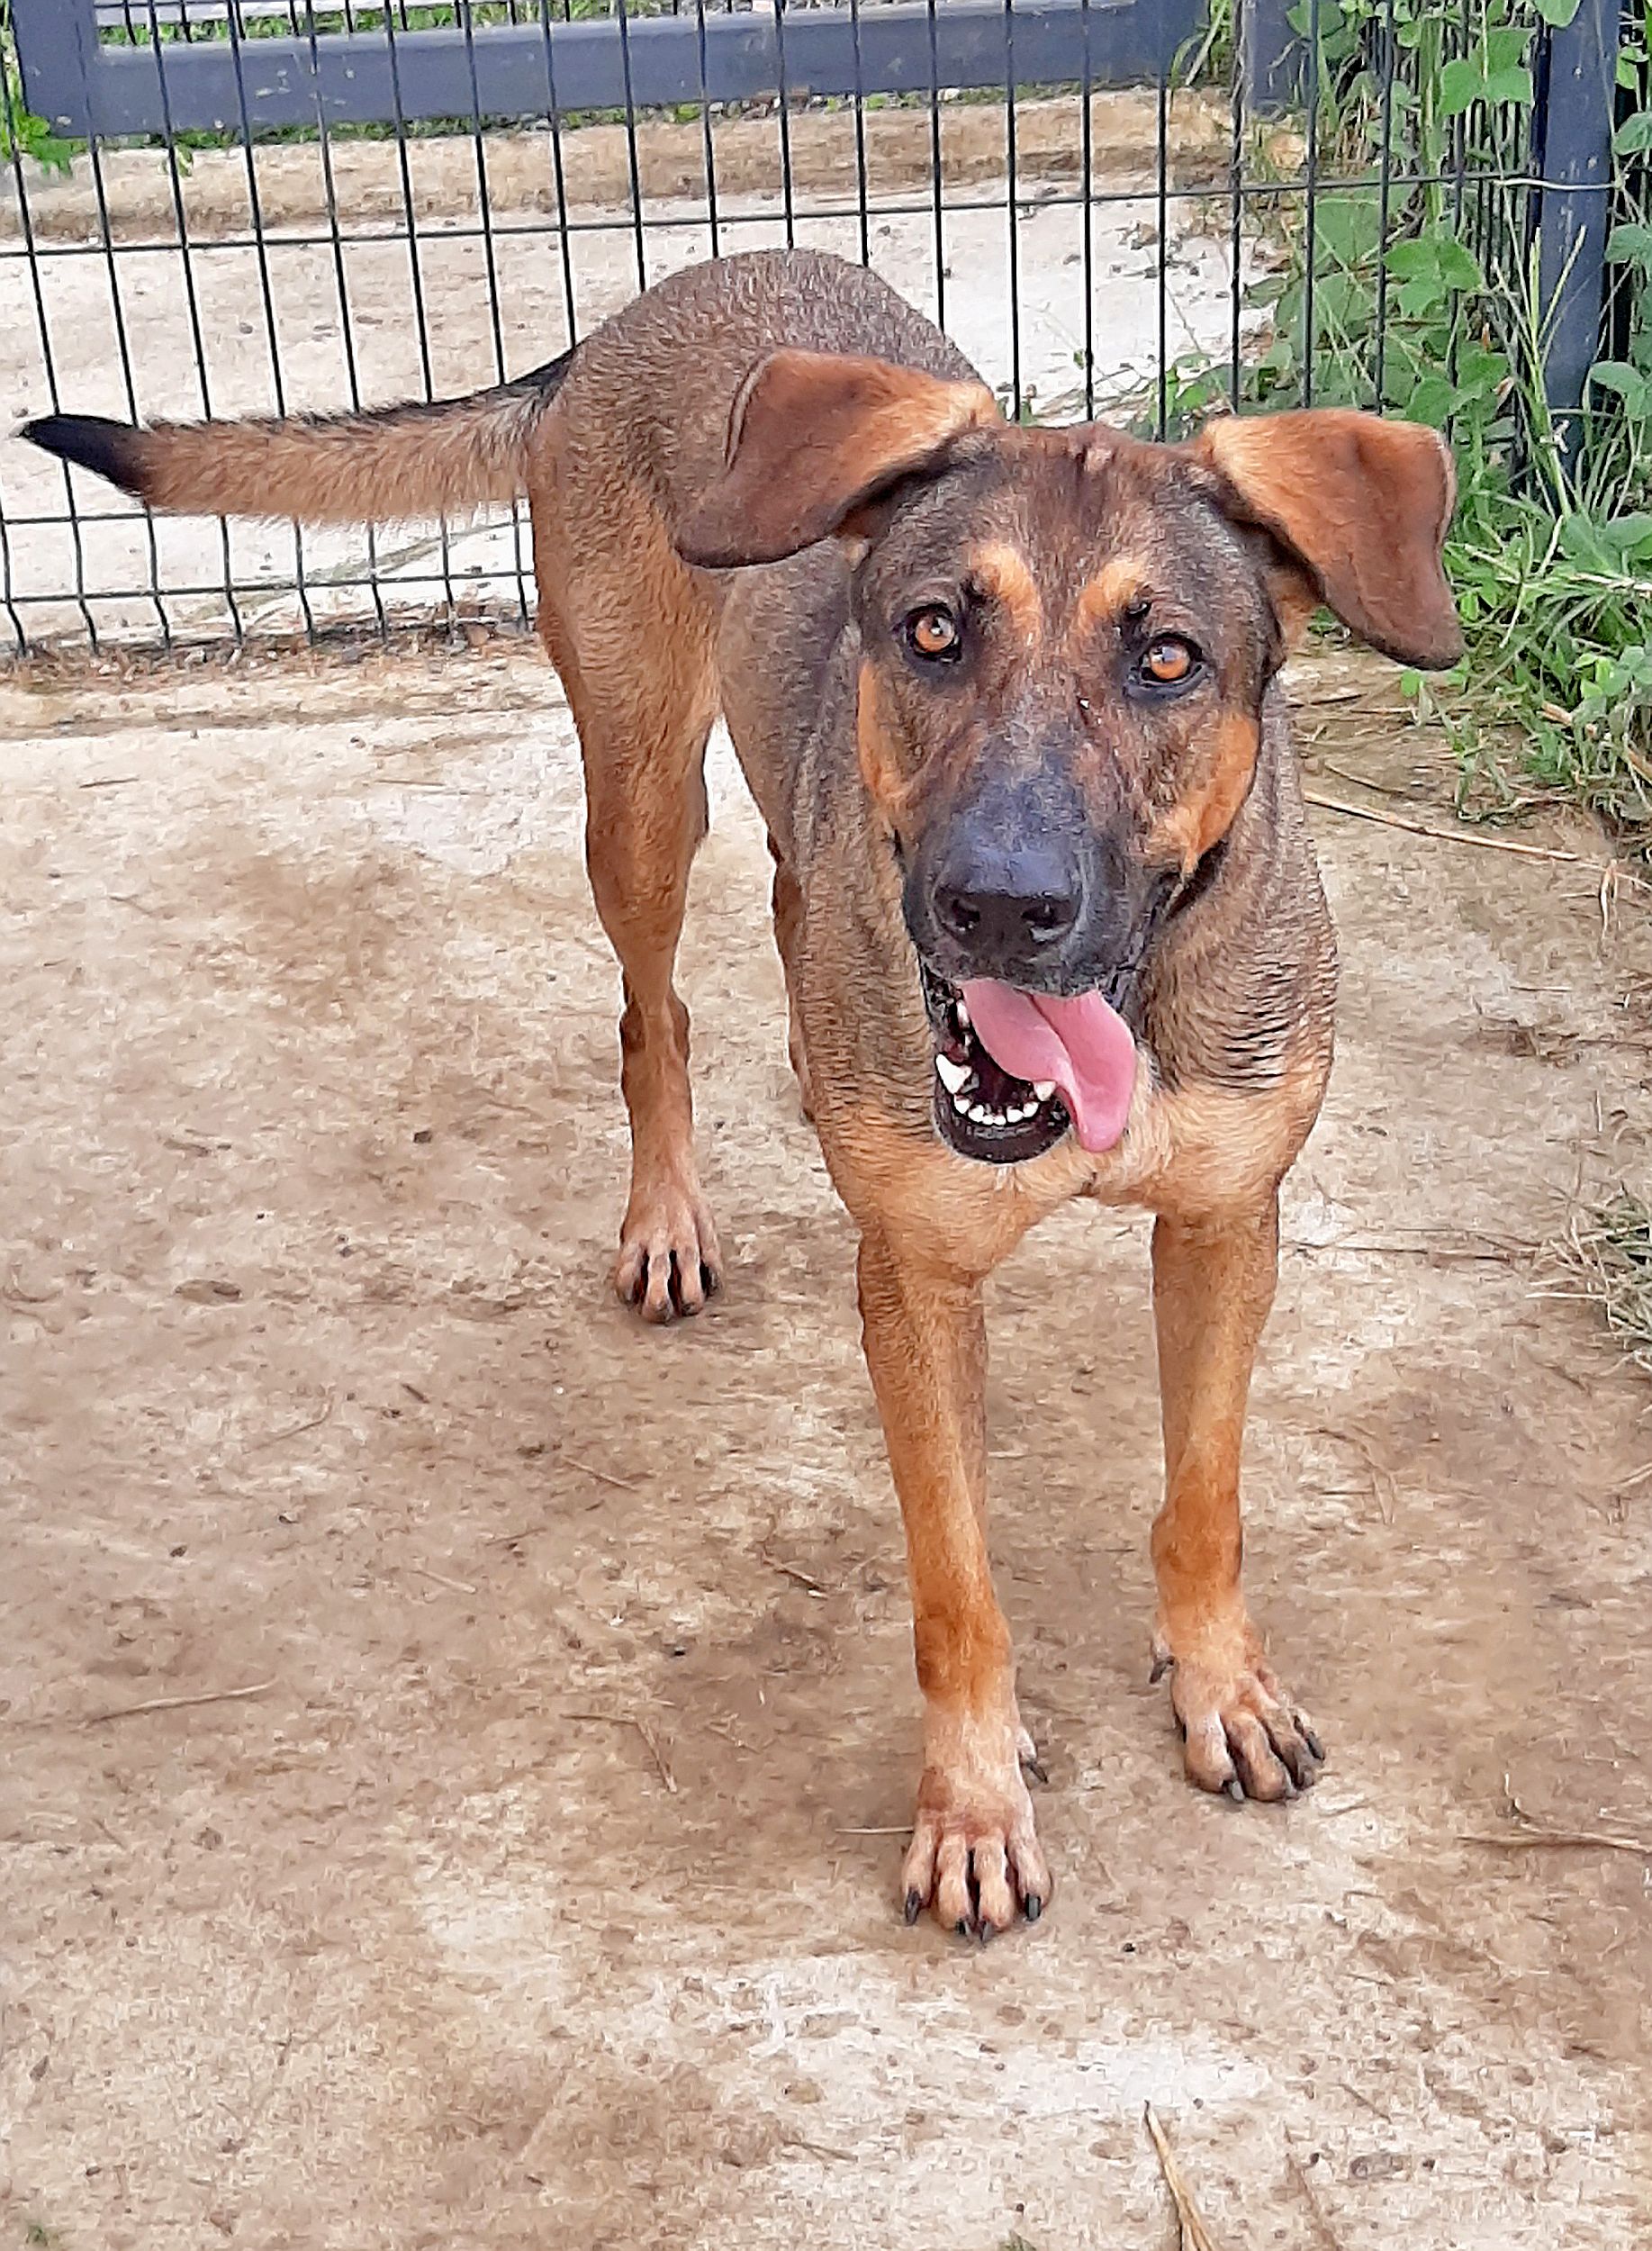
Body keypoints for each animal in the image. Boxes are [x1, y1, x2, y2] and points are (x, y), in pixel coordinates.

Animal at [25, 246, 1458, 1936]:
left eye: (1166, 659)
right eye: (930, 630)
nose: (996, 907)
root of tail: (632, 315)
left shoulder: (1228, 1223)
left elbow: (1206, 1492)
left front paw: (1219, 1682)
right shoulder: (915, 1283)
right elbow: (958, 1584)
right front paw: (973, 1805)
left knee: (789, 898)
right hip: (641, 787)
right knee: (653, 1015)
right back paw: (668, 1215)